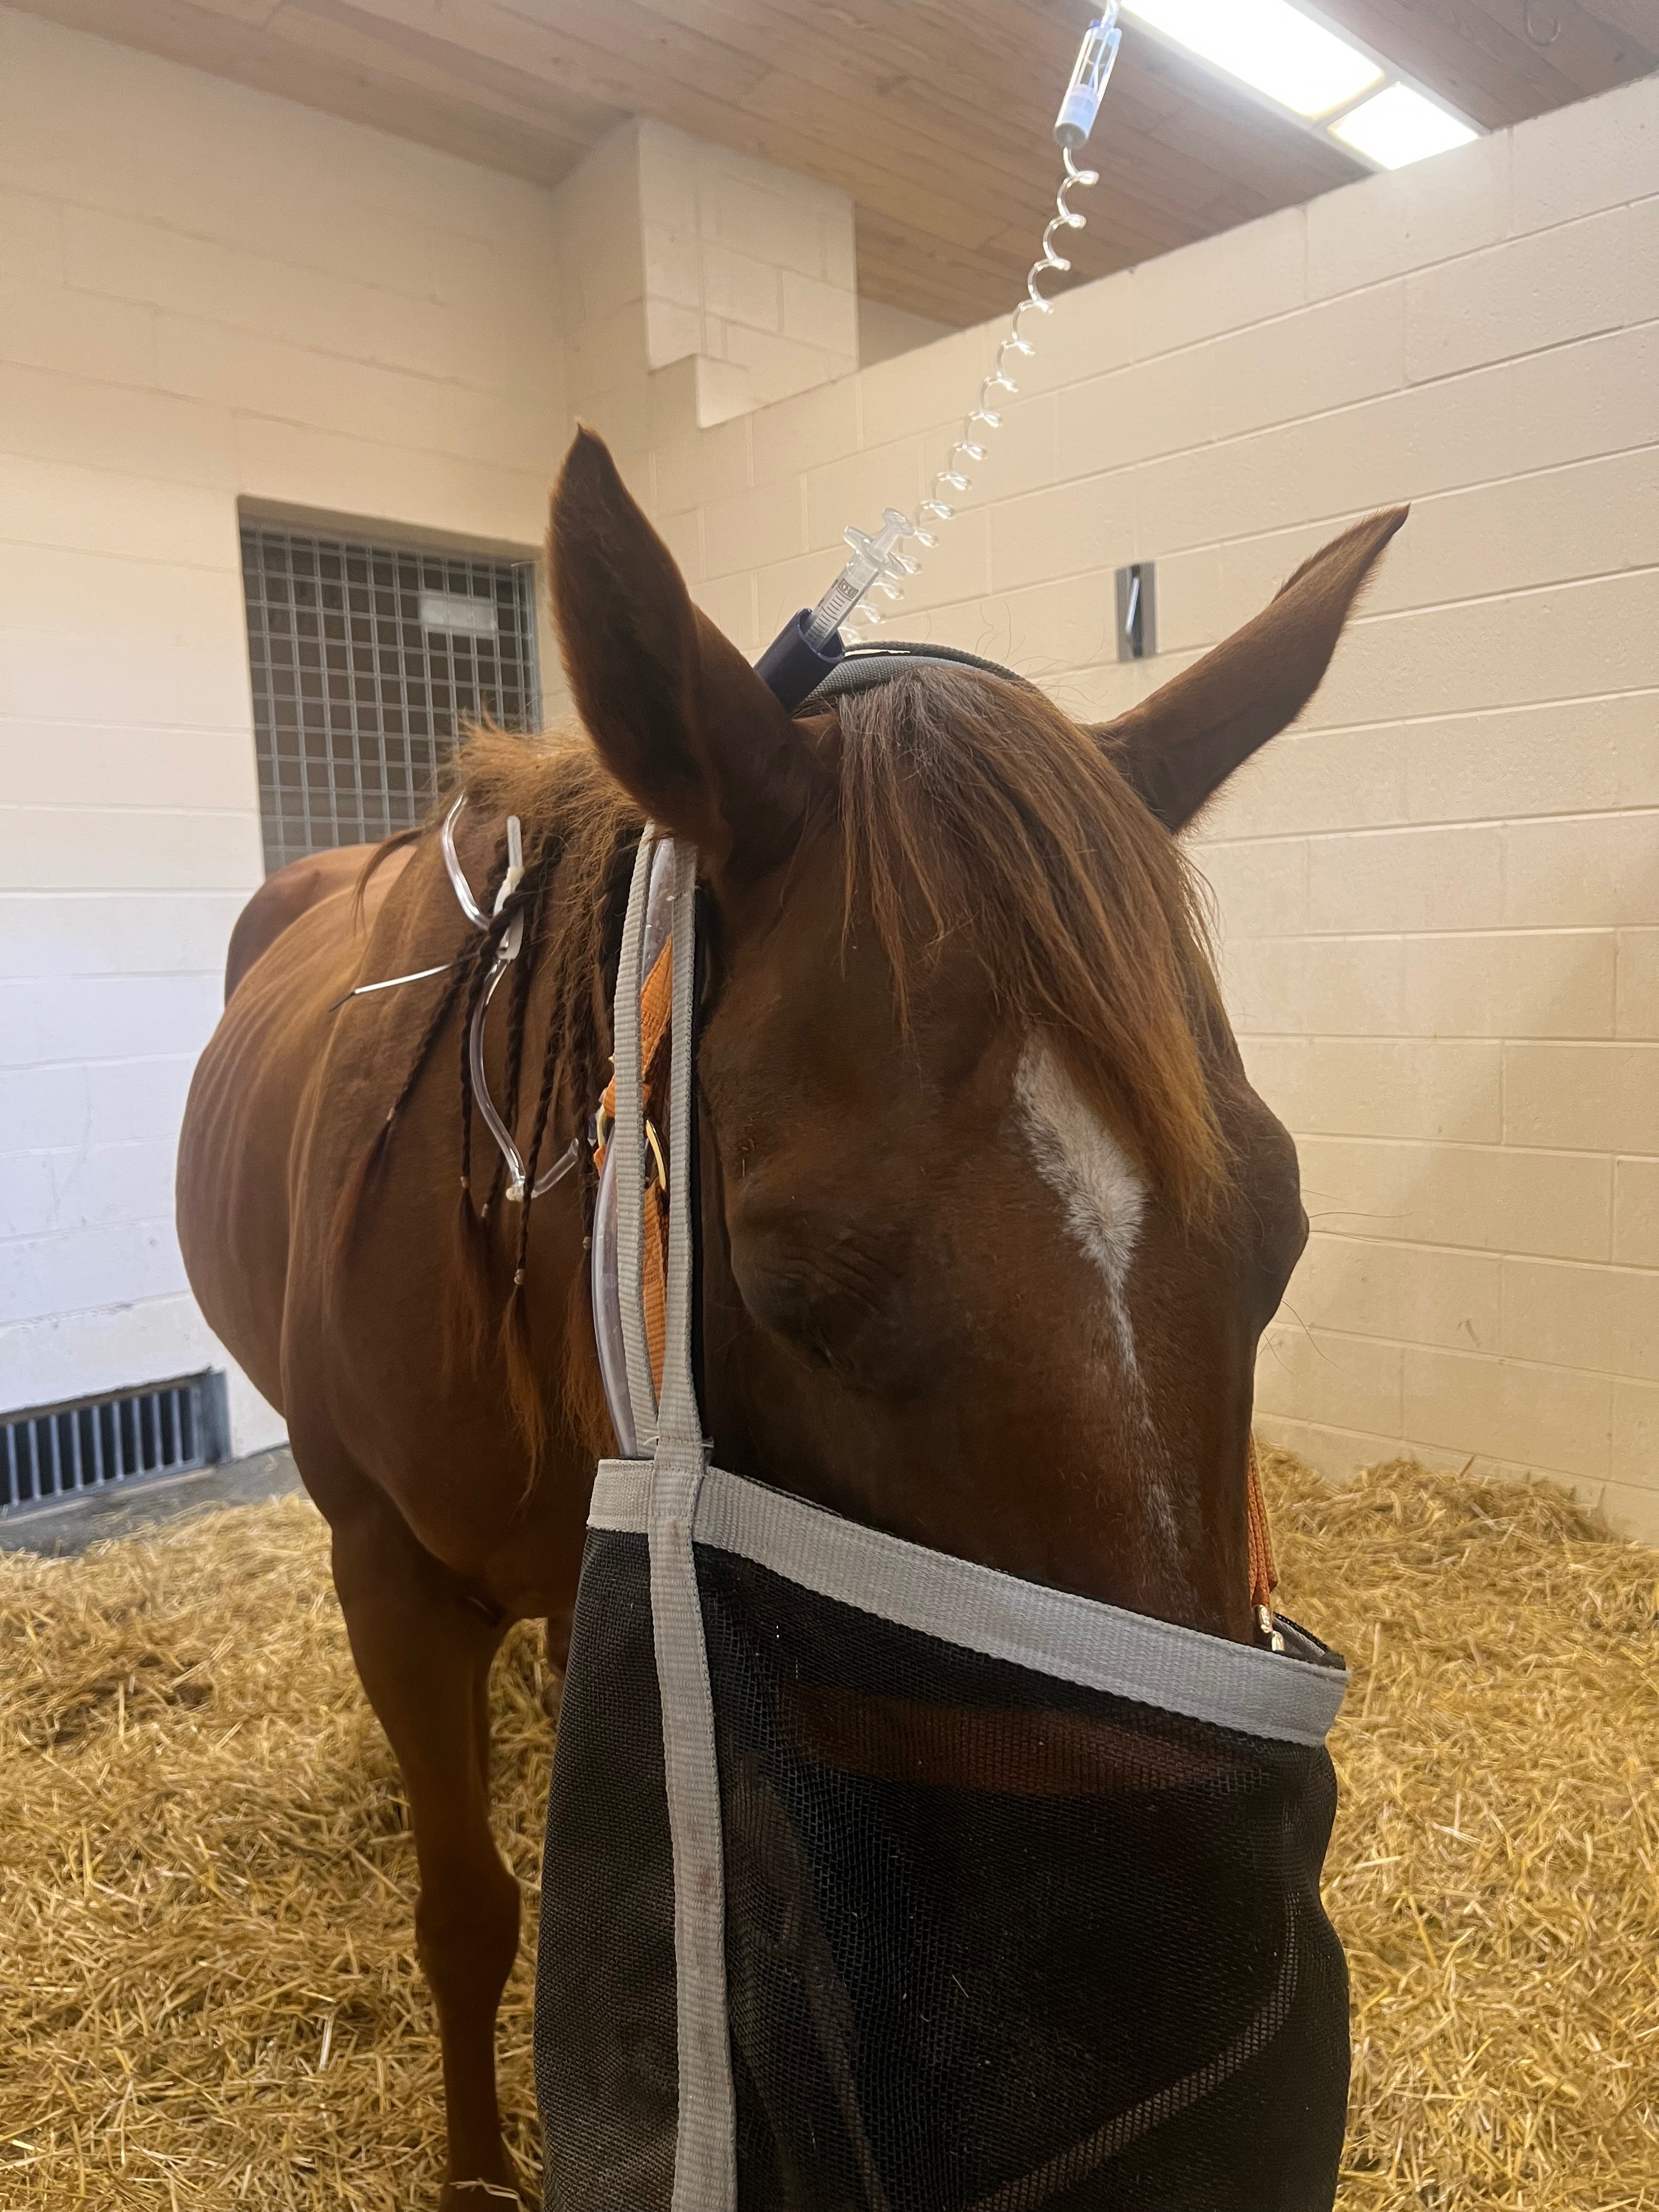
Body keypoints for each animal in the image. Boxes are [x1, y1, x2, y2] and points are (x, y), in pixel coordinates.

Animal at [176, 426, 1404, 2205]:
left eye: (1285, 1231)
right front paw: (479, 2170)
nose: (1212, 2099)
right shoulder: (388, 1577)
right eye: (779, 1275)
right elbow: (468, 1915)